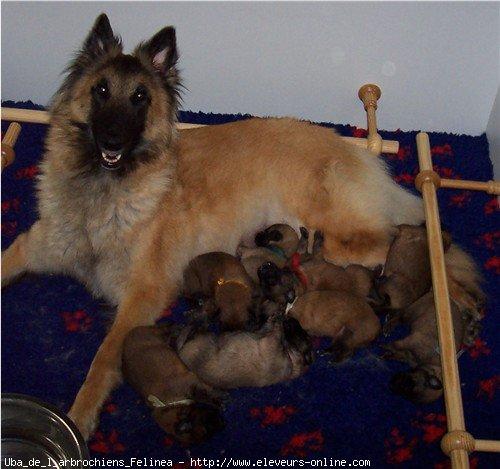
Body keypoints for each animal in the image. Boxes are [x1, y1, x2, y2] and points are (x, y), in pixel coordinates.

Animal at [175, 310, 312, 388]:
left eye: (303, 334)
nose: (292, 319)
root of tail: (180, 353)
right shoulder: (263, 334)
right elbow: (267, 328)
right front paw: (275, 318)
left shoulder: (271, 343)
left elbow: (277, 331)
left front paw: (278, 320)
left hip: (203, 340)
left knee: (191, 330)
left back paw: (195, 322)